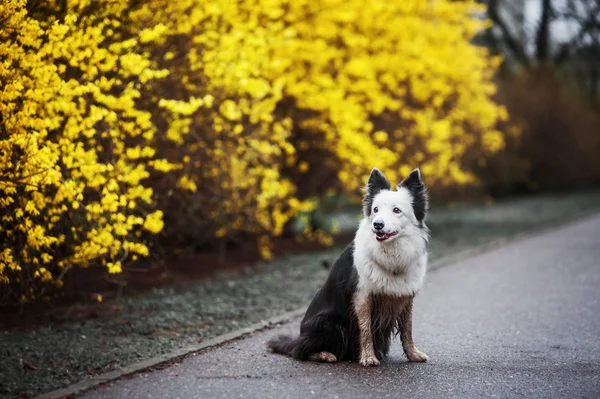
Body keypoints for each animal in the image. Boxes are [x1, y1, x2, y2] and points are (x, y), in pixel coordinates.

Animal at [266, 167, 426, 368]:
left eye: (396, 210)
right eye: (375, 210)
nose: (377, 225)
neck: (391, 254)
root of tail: (299, 337)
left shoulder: (405, 296)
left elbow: (407, 330)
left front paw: (413, 354)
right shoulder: (362, 296)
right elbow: (365, 329)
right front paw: (368, 358)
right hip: (330, 324)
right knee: (300, 351)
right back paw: (324, 354)